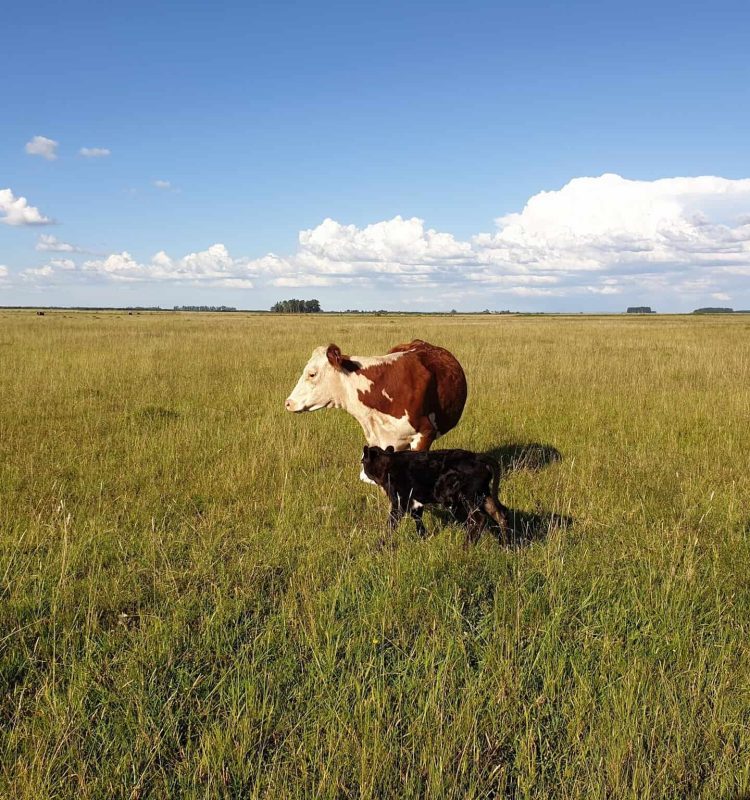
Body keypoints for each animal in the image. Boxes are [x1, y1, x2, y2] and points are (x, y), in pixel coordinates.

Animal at [361, 445, 511, 544]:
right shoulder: (415, 501)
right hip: (483, 495)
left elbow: (391, 523)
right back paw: (506, 546)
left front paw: (380, 545)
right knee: (500, 514)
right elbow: (418, 519)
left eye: (362, 461)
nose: (361, 475)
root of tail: (478, 456)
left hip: (465, 498)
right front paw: (423, 538)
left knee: (479, 519)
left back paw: (467, 546)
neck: (388, 464)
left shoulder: (399, 501)